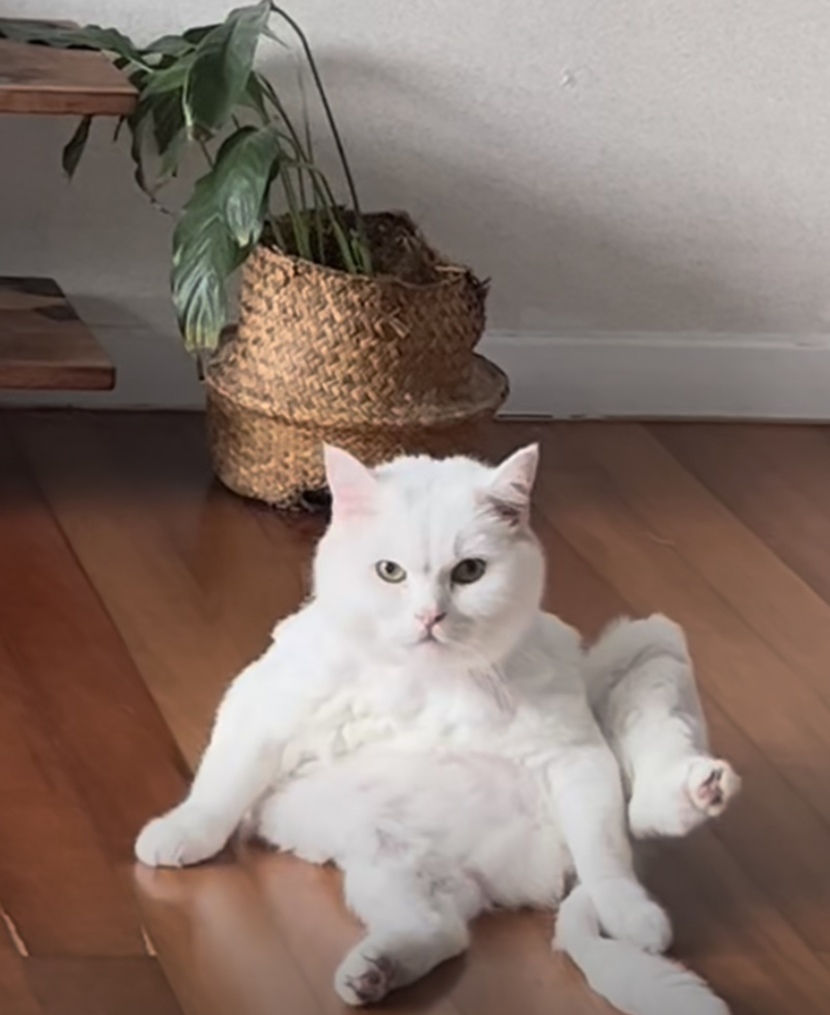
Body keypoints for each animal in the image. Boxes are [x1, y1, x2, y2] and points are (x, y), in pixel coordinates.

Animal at [136, 443, 740, 1015]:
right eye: (390, 572)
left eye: (470, 571)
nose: (430, 617)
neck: (427, 683)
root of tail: (533, 873)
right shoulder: (263, 701)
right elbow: (222, 782)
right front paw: (181, 836)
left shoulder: (575, 756)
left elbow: (606, 855)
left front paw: (630, 914)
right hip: (383, 855)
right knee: (441, 931)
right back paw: (372, 973)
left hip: (650, 645)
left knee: (637, 815)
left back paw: (698, 794)